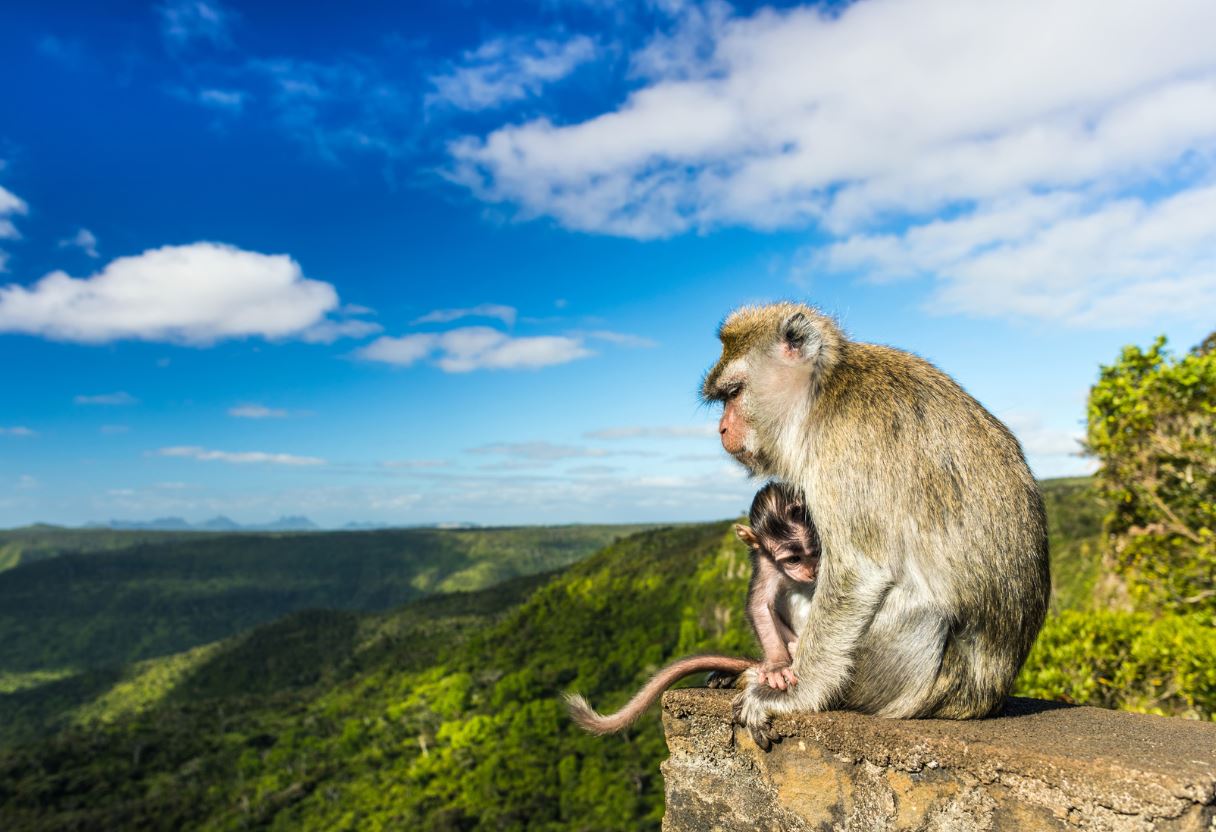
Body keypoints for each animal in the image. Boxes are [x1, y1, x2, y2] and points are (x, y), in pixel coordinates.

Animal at [566, 481, 817, 734]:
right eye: (793, 559)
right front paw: (777, 666)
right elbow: (760, 604)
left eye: (814, 551)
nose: (812, 571)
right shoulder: (765, 560)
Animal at [710, 304, 1050, 749]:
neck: (822, 392)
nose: (722, 428)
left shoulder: (843, 450)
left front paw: (793, 694)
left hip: (908, 684)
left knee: (923, 612)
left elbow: (857, 572)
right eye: (723, 399)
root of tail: (980, 701)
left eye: (734, 394)